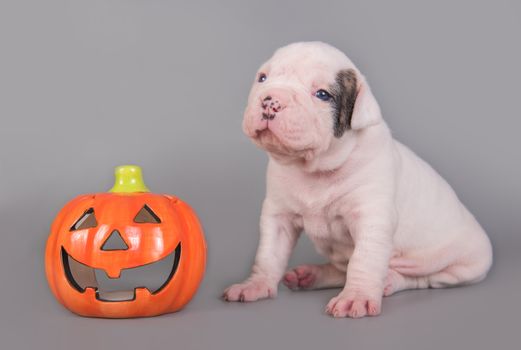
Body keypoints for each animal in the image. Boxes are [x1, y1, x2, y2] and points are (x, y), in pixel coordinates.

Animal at [222, 41, 492, 318]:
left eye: (322, 94)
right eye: (263, 78)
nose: (271, 100)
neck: (316, 168)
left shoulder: (372, 217)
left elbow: (364, 260)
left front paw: (356, 298)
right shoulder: (278, 215)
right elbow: (268, 253)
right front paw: (255, 285)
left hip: (464, 266)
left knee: (421, 279)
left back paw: (388, 280)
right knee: (342, 269)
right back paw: (311, 275)